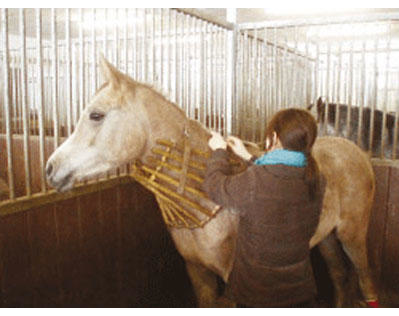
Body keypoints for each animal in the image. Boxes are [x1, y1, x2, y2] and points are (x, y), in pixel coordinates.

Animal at [46, 56, 378, 306]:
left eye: (96, 115)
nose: (51, 168)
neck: (202, 197)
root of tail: (355, 151)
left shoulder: (232, 278)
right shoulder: (198, 273)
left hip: (353, 236)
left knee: (364, 280)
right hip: (328, 238)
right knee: (340, 277)